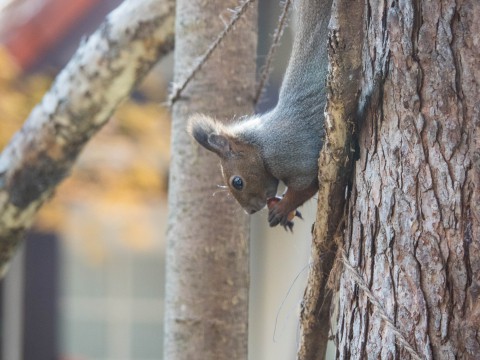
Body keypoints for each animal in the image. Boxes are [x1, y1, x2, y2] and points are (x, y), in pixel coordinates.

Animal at [189, 0, 332, 231]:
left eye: (237, 182)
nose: (252, 211)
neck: (261, 146)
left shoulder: (291, 154)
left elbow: (306, 184)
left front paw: (283, 208)